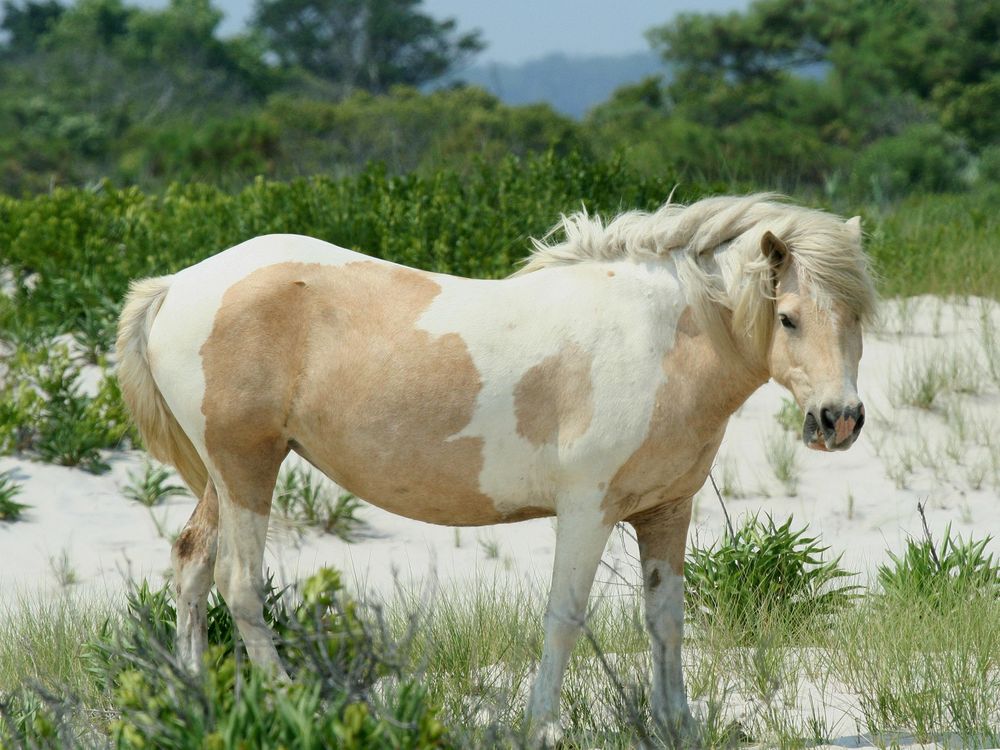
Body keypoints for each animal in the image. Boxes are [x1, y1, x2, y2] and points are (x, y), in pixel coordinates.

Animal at [113, 191, 872, 744]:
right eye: (791, 318)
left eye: (857, 319)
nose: (839, 419)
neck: (659, 338)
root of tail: (178, 284)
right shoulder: (588, 509)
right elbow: (565, 617)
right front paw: (543, 728)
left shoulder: (666, 510)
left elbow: (666, 621)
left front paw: (676, 726)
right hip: (246, 469)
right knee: (240, 588)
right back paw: (291, 707)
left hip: (225, 475)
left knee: (192, 567)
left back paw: (197, 706)